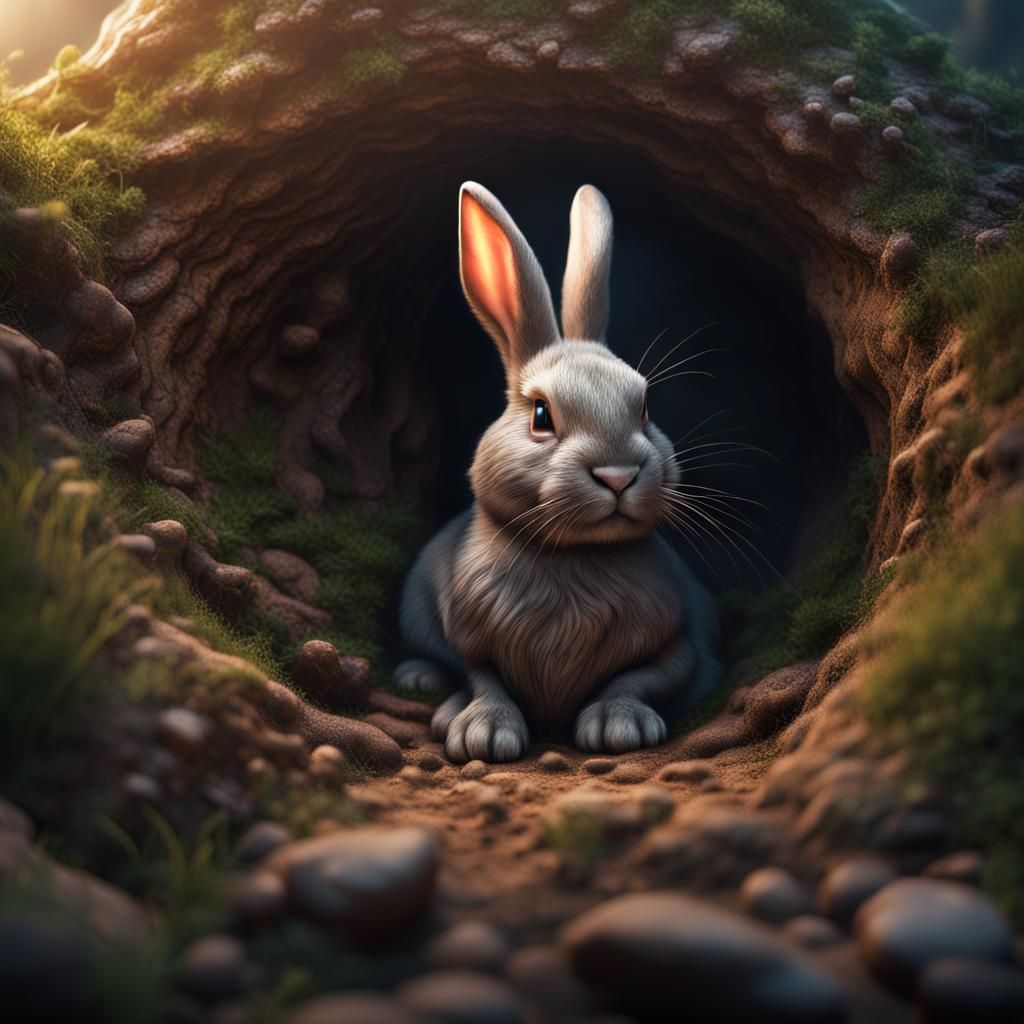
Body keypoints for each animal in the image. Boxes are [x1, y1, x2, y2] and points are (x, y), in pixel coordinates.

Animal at [393, 181, 720, 763]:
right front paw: (483, 733)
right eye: (541, 416)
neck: (572, 557)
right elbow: (480, 676)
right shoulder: (466, 637)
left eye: (644, 409)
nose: (617, 475)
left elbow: (644, 676)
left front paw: (620, 725)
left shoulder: (681, 645)